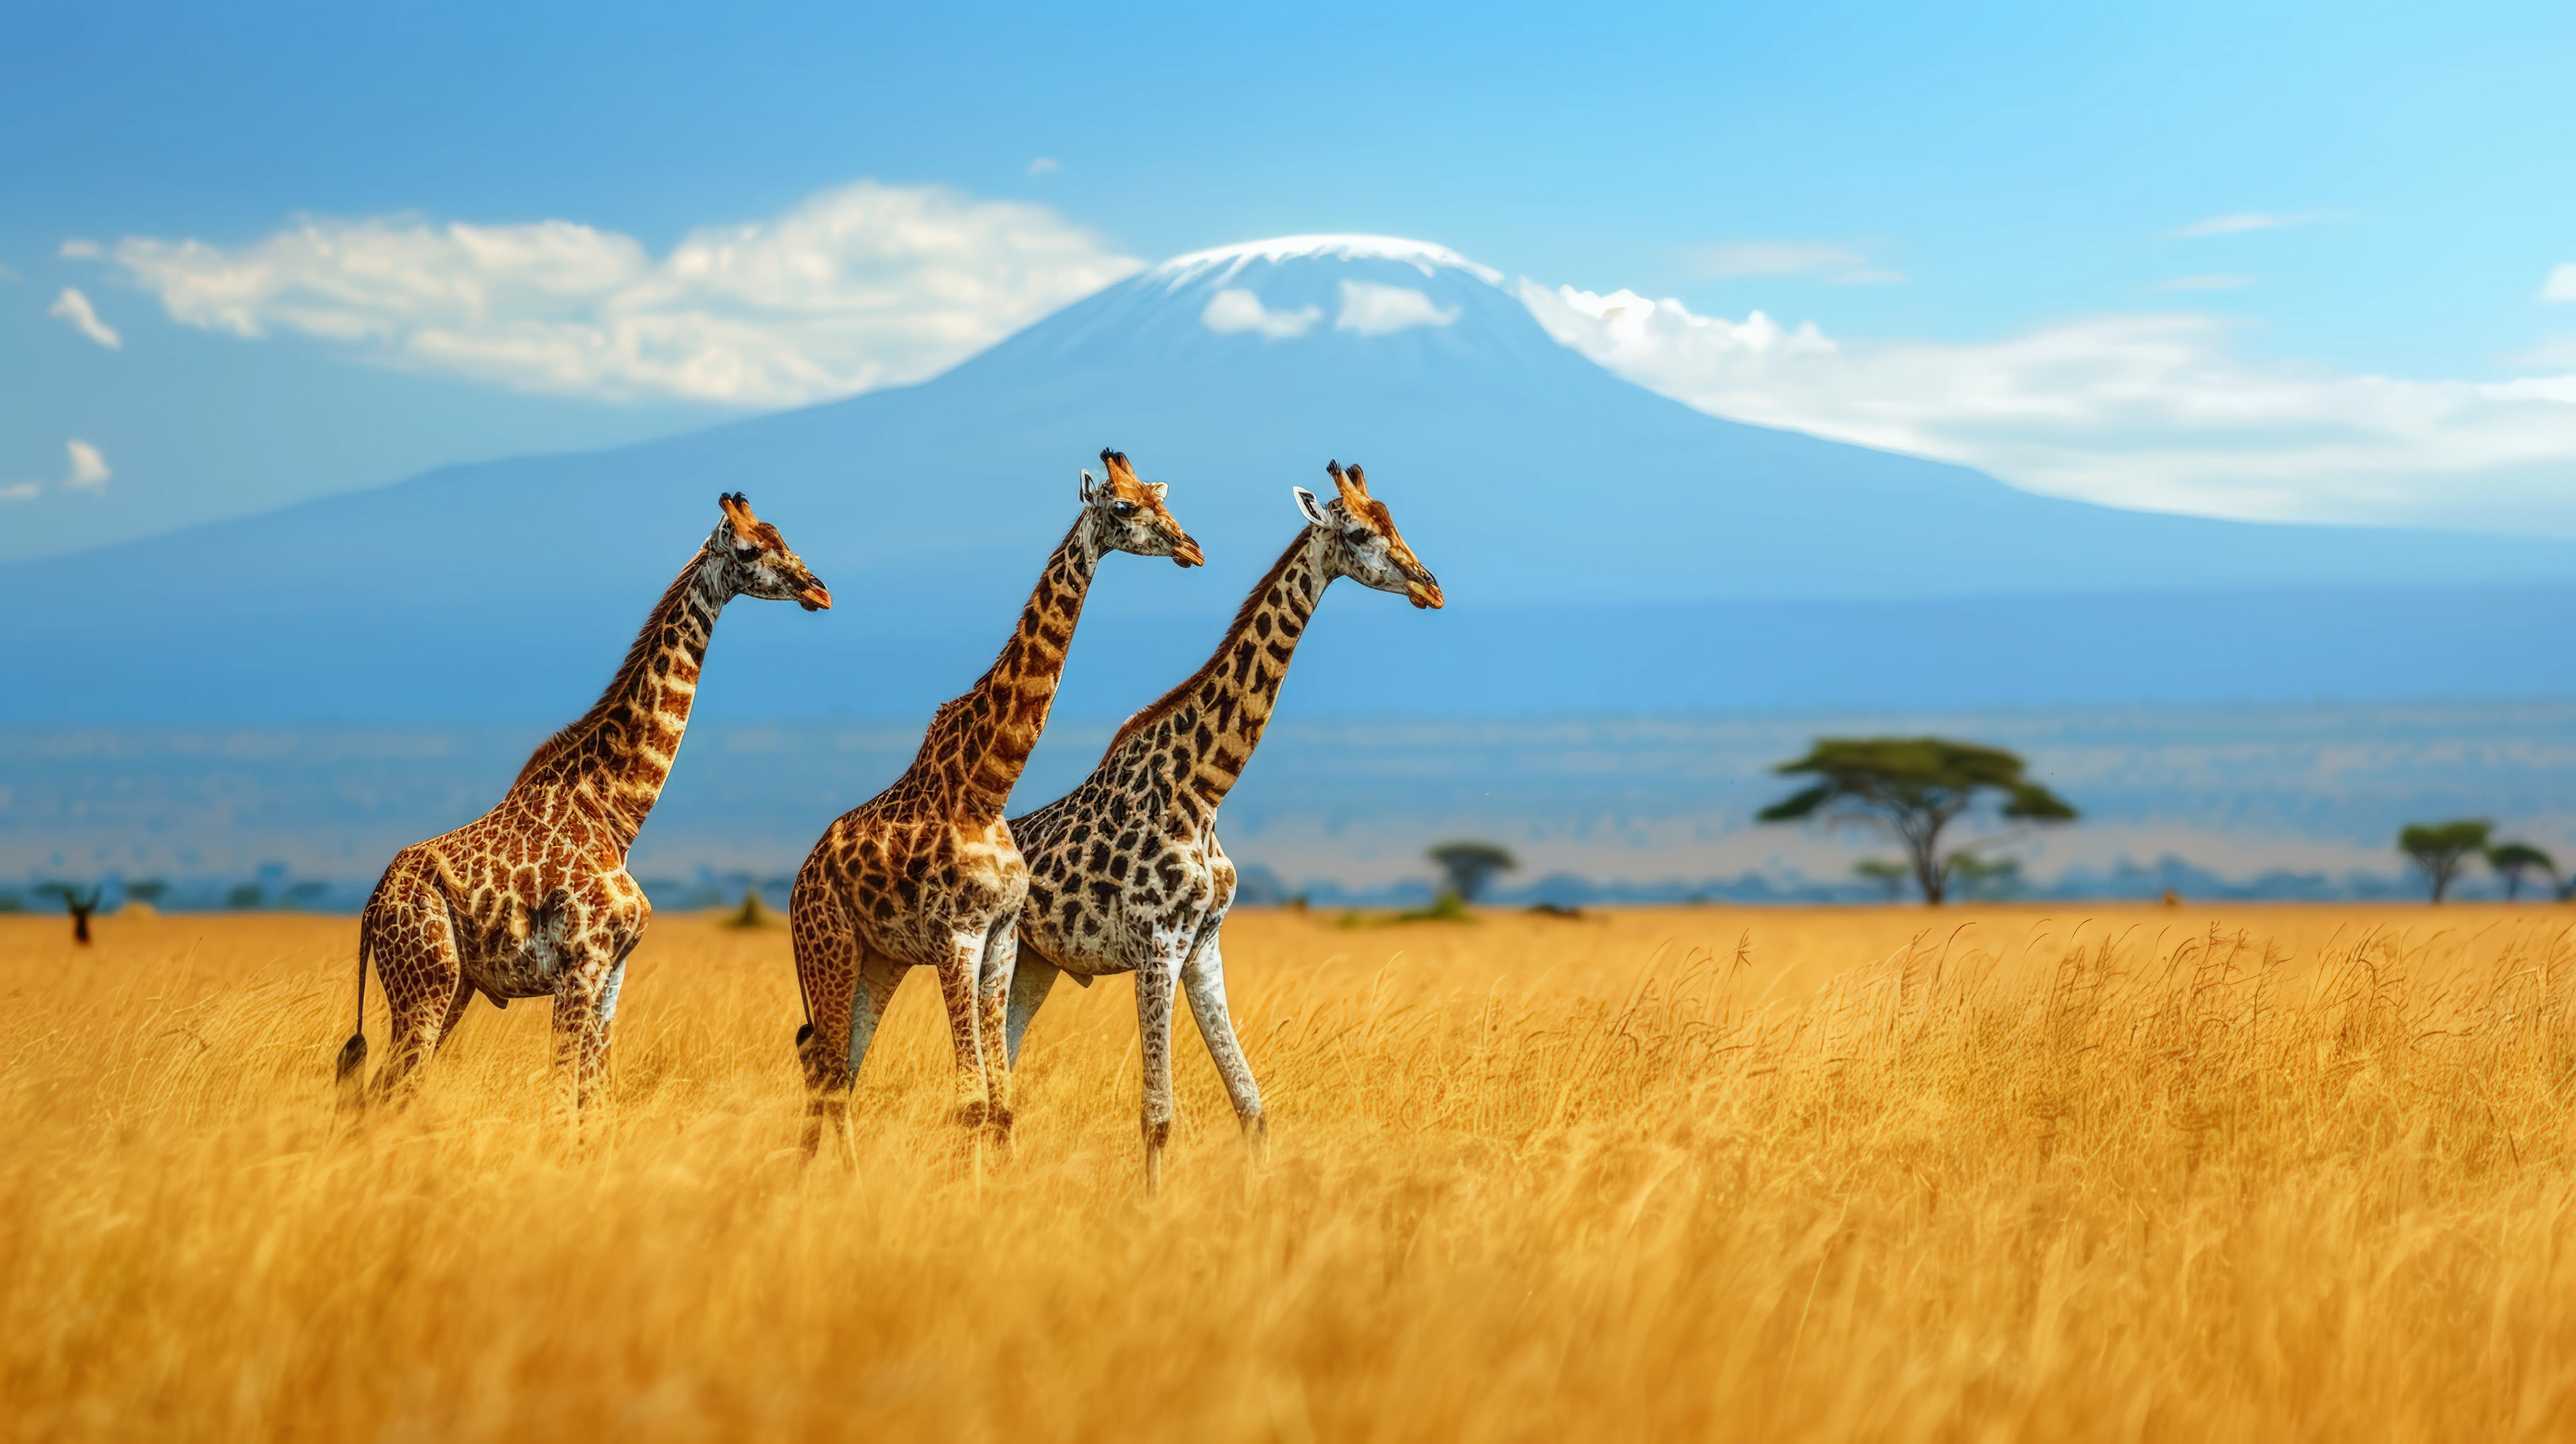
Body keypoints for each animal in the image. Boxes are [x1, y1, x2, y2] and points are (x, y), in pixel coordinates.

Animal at [336, 493, 830, 1116]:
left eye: (781, 535)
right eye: (748, 549)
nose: (819, 590)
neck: (616, 814)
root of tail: (372, 908)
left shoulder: (613, 973)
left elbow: (594, 1099)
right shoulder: (581, 966)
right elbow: (559, 1096)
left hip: (454, 988)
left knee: (389, 1091)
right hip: (427, 981)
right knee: (389, 1088)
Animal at [789, 449, 1202, 1156]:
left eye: (1161, 497)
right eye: (1124, 506)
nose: (1191, 548)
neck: (985, 789)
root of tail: (798, 883)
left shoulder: (1002, 939)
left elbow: (1002, 1103)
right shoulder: (956, 938)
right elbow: (973, 1100)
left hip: (879, 961)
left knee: (839, 1071)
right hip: (830, 947)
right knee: (825, 1071)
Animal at [1004, 460, 1442, 1187]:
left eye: (1394, 520)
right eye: (1357, 531)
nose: (1430, 587)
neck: (1203, 792)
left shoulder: (1204, 945)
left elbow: (1252, 1105)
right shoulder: (1157, 945)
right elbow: (1158, 1117)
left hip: (1037, 966)